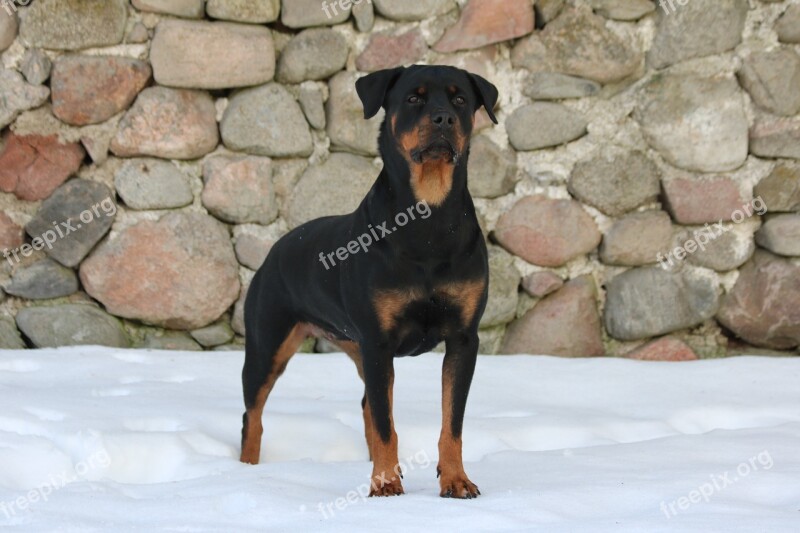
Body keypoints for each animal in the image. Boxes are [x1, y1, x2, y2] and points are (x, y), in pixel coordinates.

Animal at [241, 66, 496, 498]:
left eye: (460, 99)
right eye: (413, 98)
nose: (443, 119)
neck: (428, 224)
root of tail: (274, 250)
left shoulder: (463, 338)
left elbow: (451, 422)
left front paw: (457, 480)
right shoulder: (378, 341)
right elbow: (384, 423)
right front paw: (386, 483)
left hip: (356, 349)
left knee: (367, 405)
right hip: (267, 344)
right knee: (253, 415)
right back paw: (244, 470)